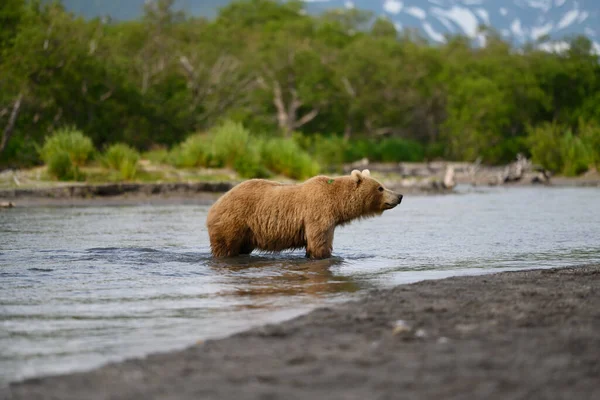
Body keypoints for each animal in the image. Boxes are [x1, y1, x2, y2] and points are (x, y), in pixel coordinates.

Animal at [206, 167, 404, 258]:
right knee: (226, 247)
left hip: (247, 233)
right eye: (380, 187)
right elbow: (319, 242)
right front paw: (325, 256)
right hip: (233, 222)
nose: (399, 196)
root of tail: (215, 204)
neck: (337, 205)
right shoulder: (318, 214)